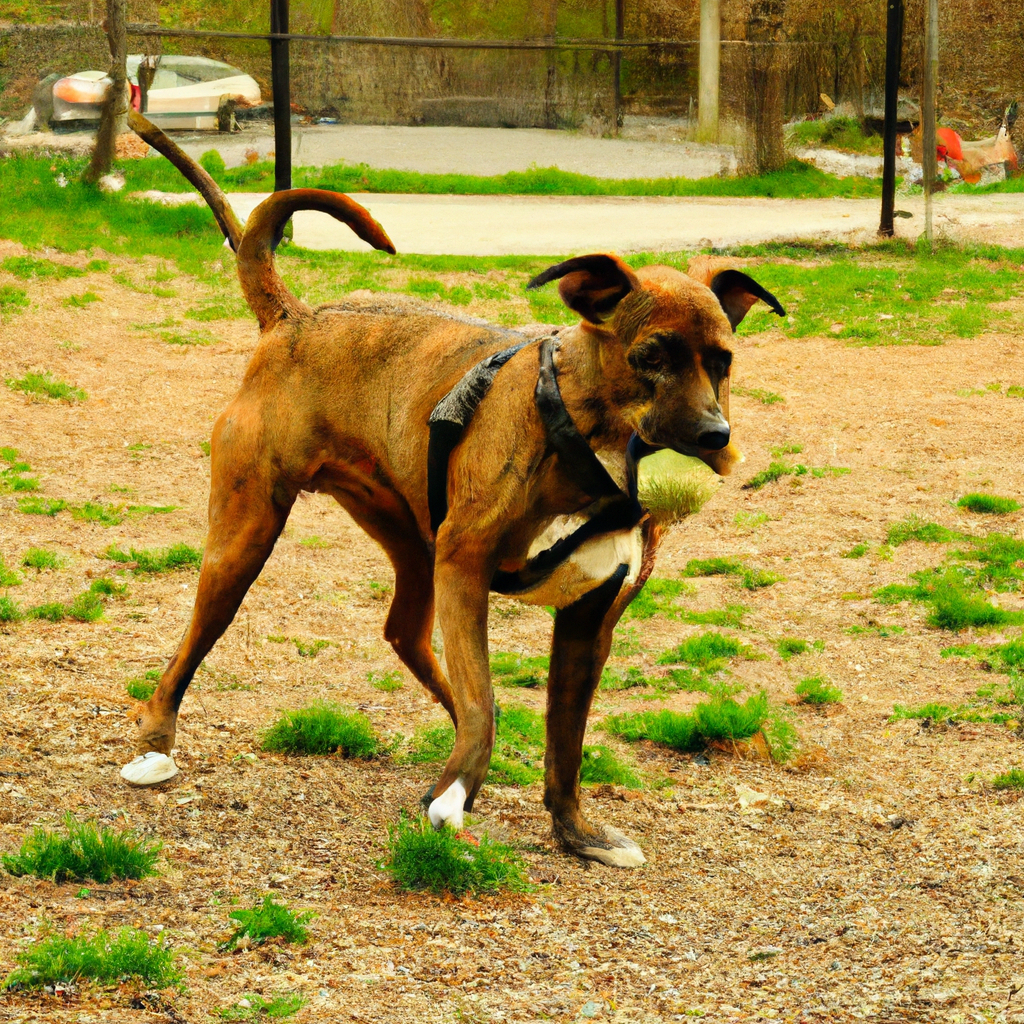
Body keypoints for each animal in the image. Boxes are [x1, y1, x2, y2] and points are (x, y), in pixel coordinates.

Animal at [121, 112, 782, 864]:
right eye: (651, 357)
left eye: (723, 362)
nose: (714, 436)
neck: (585, 445)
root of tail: (294, 317)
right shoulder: (466, 570)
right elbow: (488, 702)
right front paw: (461, 789)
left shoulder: (587, 623)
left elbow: (563, 744)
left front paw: (575, 832)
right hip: (246, 537)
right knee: (198, 639)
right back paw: (156, 742)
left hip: (411, 542)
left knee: (411, 639)